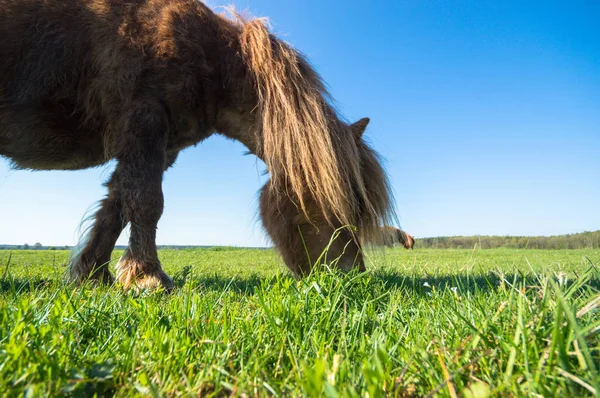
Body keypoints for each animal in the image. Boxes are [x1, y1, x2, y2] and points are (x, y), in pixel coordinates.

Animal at [2, 0, 400, 292]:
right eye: (341, 200)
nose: (353, 275)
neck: (209, 57)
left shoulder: (157, 148)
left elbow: (115, 207)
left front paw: (94, 275)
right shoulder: (145, 124)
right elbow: (146, 202)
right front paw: (148, 278)